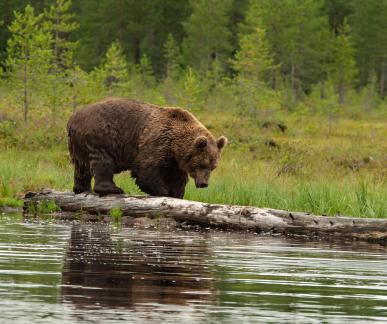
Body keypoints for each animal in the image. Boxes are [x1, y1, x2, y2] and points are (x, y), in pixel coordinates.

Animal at [67, 96, 227, 197]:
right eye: (201, 164)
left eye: (213, 167)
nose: (203, 183)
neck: (174, 145)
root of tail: (72, 119)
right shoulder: (156, 142)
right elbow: (144, 169)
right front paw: (164, 191)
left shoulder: (174, 161)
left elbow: (177, 178)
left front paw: (176, 193)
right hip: (102, 135)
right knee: (103, 161)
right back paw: (113, 189)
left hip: (78, 144)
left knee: (82, 166)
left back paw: (81, 188)